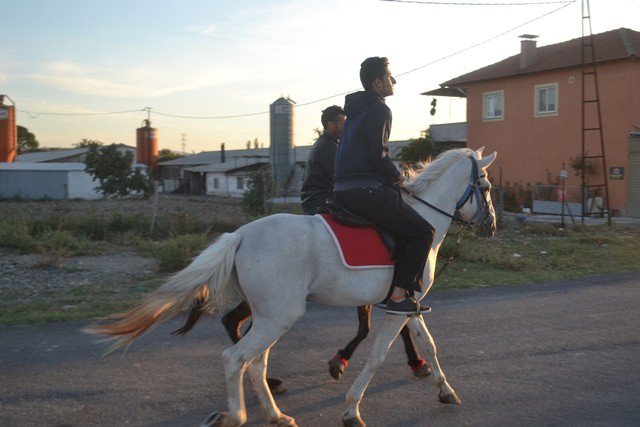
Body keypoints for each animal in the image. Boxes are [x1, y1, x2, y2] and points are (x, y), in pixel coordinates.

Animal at [87, 148, 498, 427]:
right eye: (487, 186)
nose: (491, 226)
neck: (423, 219)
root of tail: (240, 235)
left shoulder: (404, 304)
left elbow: (428, 344)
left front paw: (445, 390)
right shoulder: (398, 308)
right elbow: (378, 356)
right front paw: (351, 408)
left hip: (272, 316)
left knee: (254, 362)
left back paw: (276, 414)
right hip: (279, 317)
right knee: (236, 358)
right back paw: (236, 415)